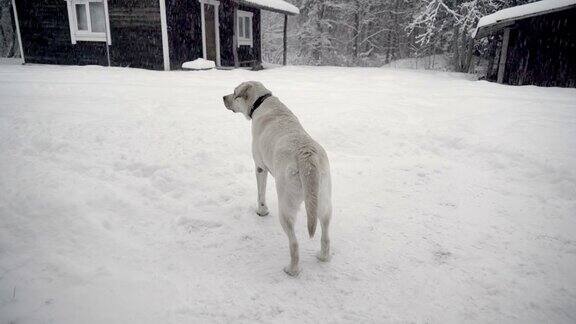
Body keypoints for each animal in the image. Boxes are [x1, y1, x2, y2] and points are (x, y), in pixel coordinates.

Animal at [224, 81, 332, 276]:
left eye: (234, 93)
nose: (223, 97)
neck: (261, 102)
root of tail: (307, 159)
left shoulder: (260, 167)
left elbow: (260, 193)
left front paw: (262, 211)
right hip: (324, 200)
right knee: (325, 233)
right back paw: (323, 257)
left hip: (286, 207)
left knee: (294, 244)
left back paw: (291, 270)